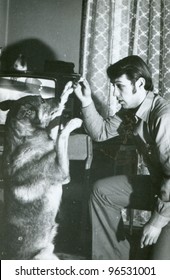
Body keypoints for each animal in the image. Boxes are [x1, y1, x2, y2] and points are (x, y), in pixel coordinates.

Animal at [0, 81, 82, 260]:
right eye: (42, 101)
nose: (56, 97)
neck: (25, 140)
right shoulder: (62, 171)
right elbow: (61, 135)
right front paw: (73, 123)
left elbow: (57, 129)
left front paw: (66, 92)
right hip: (40, 256)